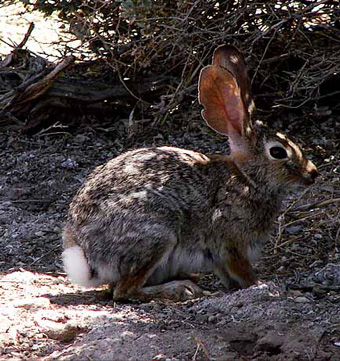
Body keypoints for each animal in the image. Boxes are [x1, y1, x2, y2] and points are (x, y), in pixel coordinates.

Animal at [61, 43, 318, 300]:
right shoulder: (232, 241)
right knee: (124, 291)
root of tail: (85, 253)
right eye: (278, 152)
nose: (313, 173)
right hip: (156, 233)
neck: (248, 179)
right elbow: (243, 271)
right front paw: (261, 286)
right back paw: (180, 288)